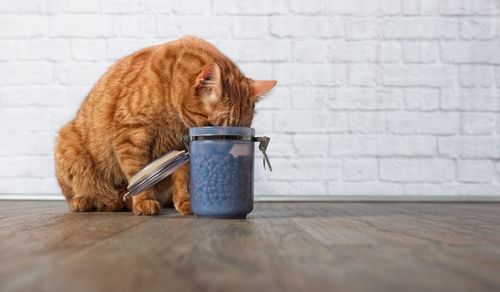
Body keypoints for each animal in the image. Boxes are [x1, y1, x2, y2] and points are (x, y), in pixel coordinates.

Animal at [54, 36, 278, 214]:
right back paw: (88, 201)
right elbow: (138, 175)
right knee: (81, 192)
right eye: (210, 127)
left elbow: (183, 179)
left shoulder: (181, 148)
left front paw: (186, 202)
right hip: (70, 146)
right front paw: (144, 201)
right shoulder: (130, 136)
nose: (220, 153)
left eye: (237, 133)